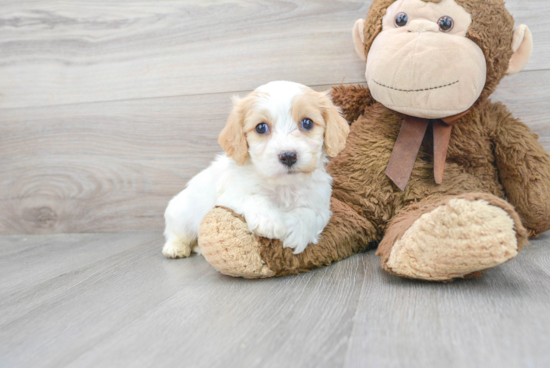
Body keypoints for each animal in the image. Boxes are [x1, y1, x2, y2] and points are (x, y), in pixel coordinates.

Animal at [163, 81, 350, 258]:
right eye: (261, 127)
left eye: (307, 123)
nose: (288, 156)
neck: (283, 186)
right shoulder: (230, 195)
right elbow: (254, 197)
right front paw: (269, 221)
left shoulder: (321, 204)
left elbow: (311, 214)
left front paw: (296, 229)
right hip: (179, 214)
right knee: (177, 233)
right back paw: (175, 248)